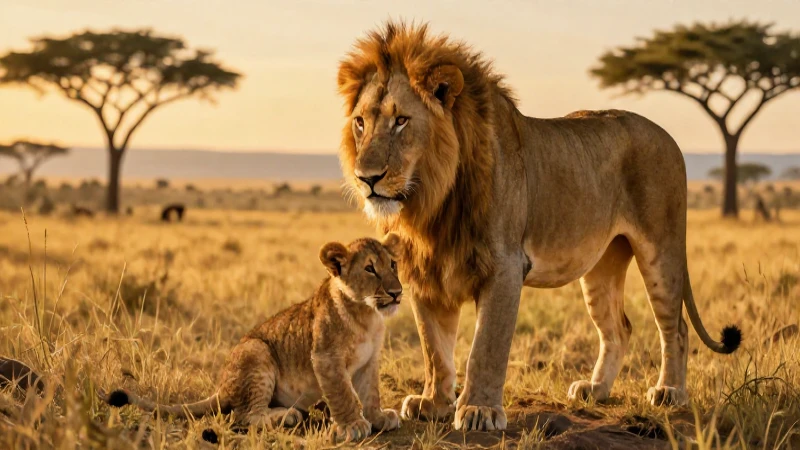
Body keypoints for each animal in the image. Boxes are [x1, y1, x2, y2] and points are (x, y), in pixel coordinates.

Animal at [98, 235, 404, 443]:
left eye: (393, 264)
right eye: (370, 269)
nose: (397, 293)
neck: (367, 314)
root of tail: (221, 387)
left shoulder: (370, 360)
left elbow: (370, 392)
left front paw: (378, 417)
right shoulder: (326, 357)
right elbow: (342, 393)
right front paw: (353, 425)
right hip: (256, 351)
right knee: (243, 415)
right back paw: (286, 415)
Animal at [336, 21, 742, 431]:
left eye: (401, 120)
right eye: (360, 123)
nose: (366, 178)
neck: (432, 202)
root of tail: (669, 137)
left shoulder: (505, 265)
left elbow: (486, 345)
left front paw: (479, 410)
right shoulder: (425, 270)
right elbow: (434, 348)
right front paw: (433, 403)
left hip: (662, 249)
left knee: (675, 327)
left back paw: (670, 392)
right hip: (602, 264)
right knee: (618, 328)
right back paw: (595, 389)